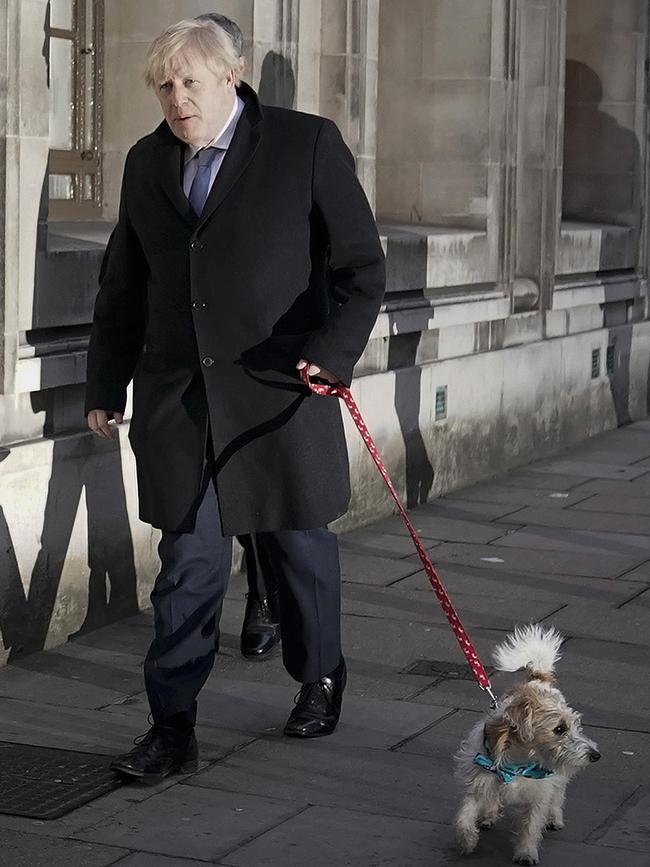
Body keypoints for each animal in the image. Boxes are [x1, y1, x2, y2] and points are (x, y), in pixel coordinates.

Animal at [450, 628, 596, 864]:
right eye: (559, 729)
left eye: (575, 726)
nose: (595, 754)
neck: (517, 763)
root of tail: (539, 679)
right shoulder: (478, 780)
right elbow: (465, 815)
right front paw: (467, 842)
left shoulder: (539, 794)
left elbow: (531, 826)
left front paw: (526, 853)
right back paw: (488, 815)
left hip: (559, 778)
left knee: (558, 794)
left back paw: (554, 817)